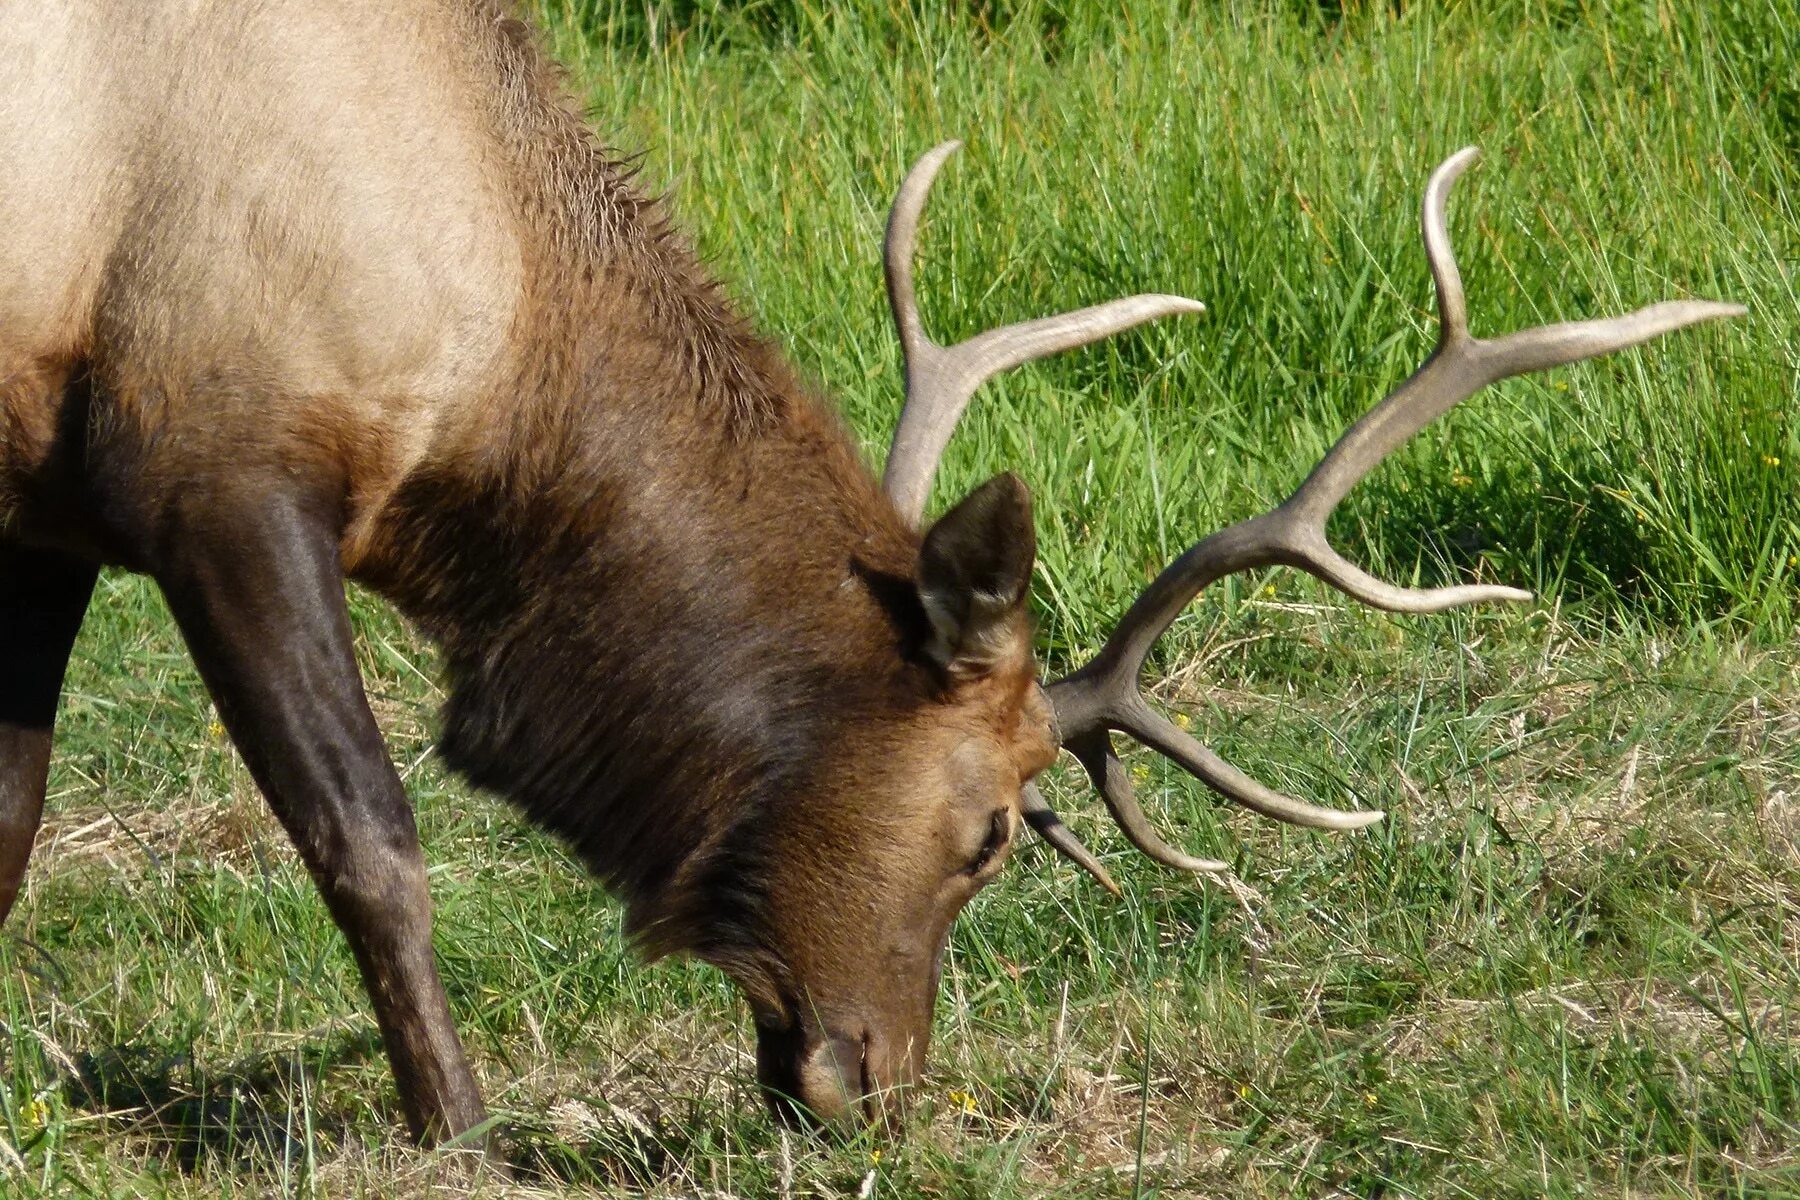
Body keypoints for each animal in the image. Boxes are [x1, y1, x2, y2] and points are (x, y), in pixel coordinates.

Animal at [3, 0, 1742, 1151]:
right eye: (991, 835)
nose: (871, 1086)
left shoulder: (47, 508)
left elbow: (15, 828)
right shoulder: (218, 469)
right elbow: (369, 839)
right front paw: (462, 1131)